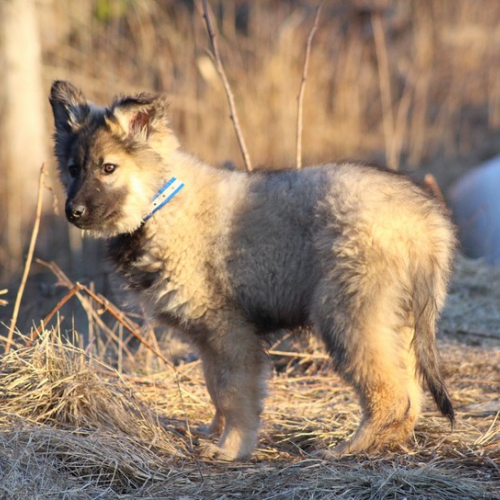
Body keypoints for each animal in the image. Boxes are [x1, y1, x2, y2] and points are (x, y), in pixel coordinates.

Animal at [48, 80, 456, 458]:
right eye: (73, 170)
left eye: (108, 169)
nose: (72, 212)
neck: (160, 204)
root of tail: (425, 220)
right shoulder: (209, 339)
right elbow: (215, 388)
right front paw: (214, 433)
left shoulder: (229, 332)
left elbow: (234, 394)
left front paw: (231, 448)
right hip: (395, 320)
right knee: (411, 395)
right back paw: (386, 443)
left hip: (347, 316)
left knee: (391, 395)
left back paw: (348, 448)